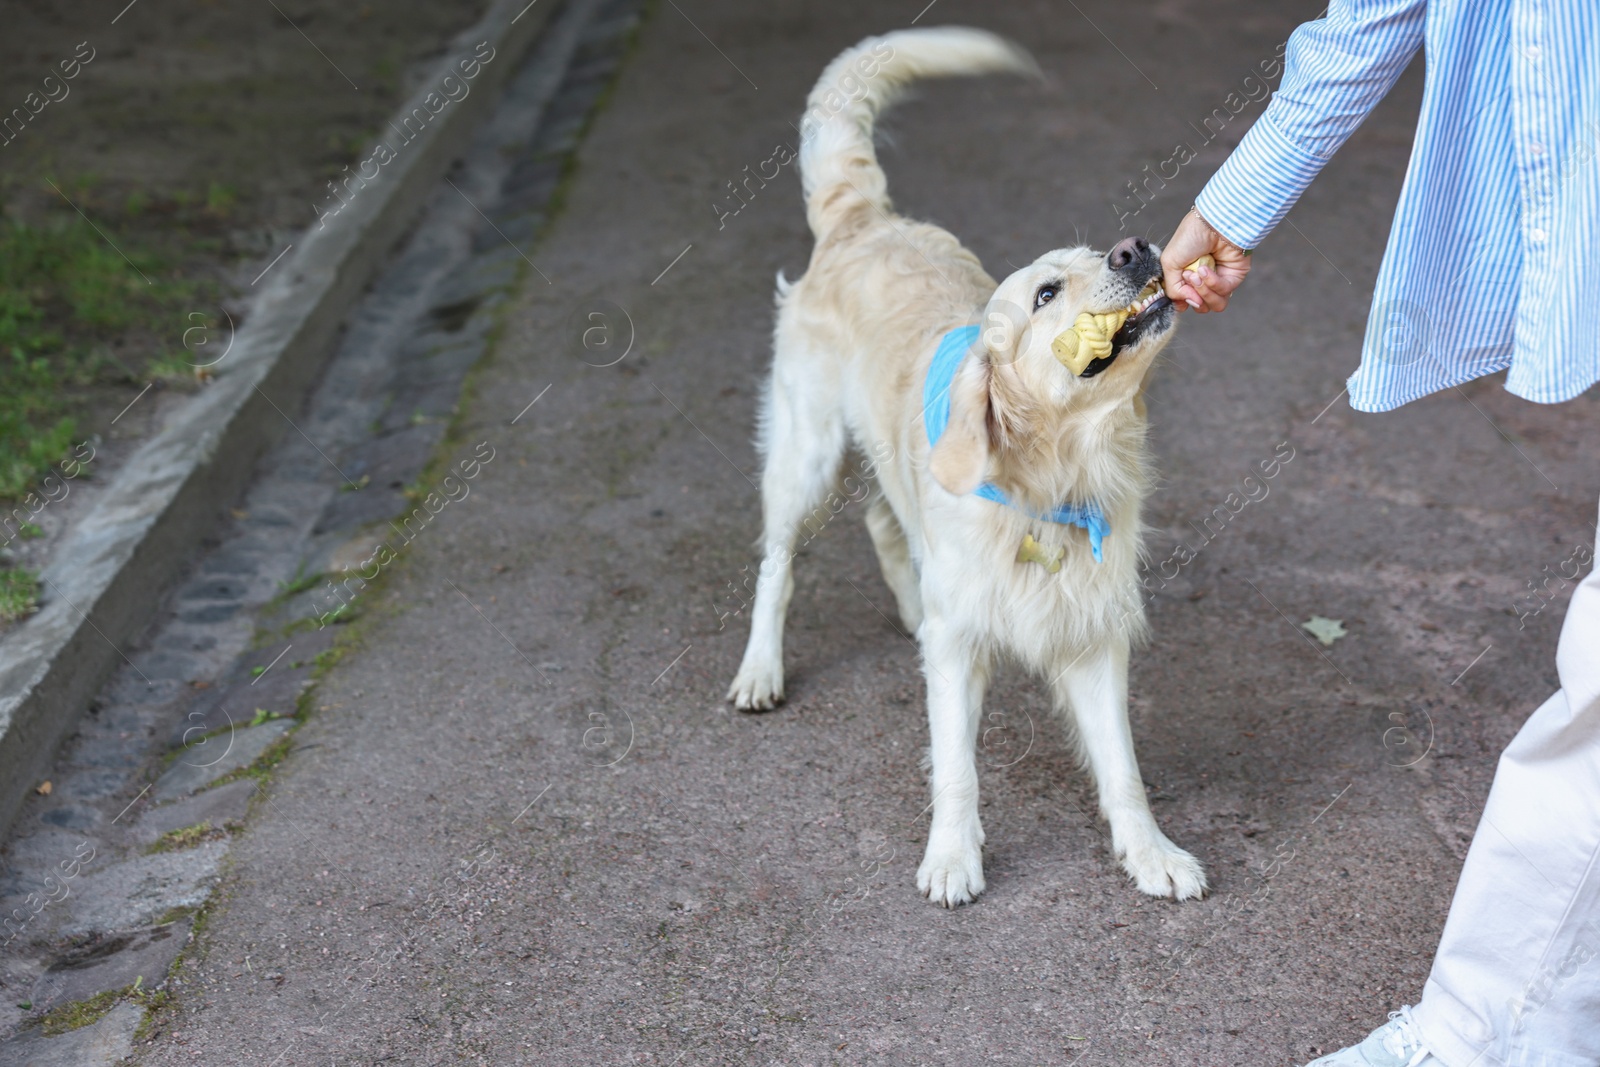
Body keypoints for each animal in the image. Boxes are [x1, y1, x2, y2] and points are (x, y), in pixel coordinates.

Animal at [726, 24, 1203, 908]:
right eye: (1046, 292)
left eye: (1096, 253)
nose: (1135, 246)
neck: (1053, 479)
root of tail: (864, 217)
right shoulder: (958, 653)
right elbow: (956, 766)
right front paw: (951, 856)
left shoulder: (1094, 636)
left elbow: (1123, 769)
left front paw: (1151, 852)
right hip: (805, 456)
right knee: (778, 561)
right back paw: (759, 668)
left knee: (886, 521)